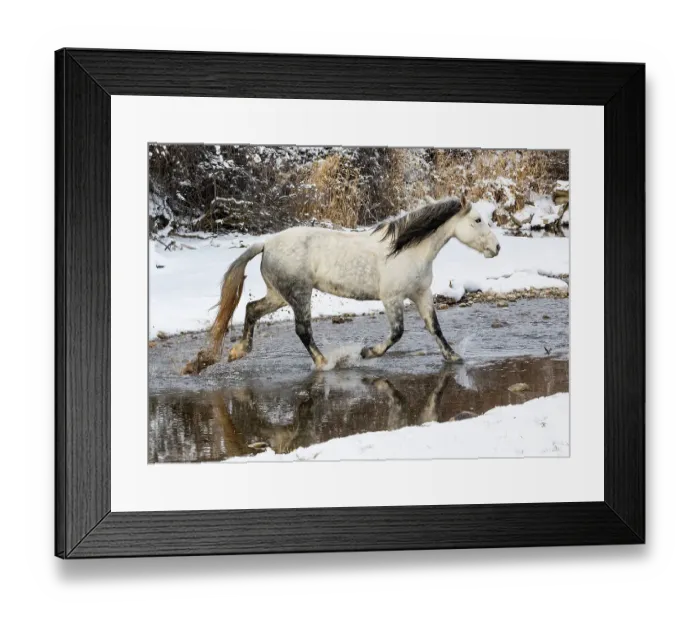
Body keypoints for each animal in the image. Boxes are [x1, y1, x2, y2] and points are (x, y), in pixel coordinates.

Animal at [182, 195, 500, 375]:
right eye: (477, 219)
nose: (496, 248)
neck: (406, 250)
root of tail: (267, 243)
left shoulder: (421, 293)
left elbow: (435, 328)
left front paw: (454, 357)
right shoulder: (392, 298)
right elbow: (397, 333)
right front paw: (366, 353)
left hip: (278, 295)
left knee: (250, 309)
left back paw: (237, 352)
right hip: (299, 294)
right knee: (303, 330)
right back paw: (326, 363)